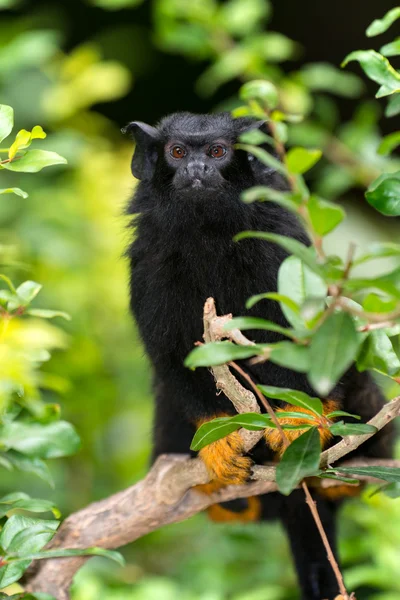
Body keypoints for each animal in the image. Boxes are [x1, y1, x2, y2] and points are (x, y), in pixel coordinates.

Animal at [124, 112, 394, 600]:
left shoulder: (280, 240)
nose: (197, 170)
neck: (207, 233)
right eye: (177, 152)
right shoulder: (148, 260)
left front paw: (298, 417)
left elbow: (320, 339)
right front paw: (216, 436)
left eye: (217, 152)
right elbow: (169, 356)